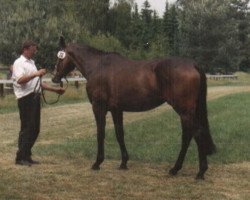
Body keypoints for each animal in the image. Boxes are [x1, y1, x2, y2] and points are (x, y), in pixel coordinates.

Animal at [51, 36, 216, 180]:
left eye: (60, 57)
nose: (54, 78)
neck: (97, 66)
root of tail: (193, 65)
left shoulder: (99, 108)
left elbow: (100, 134)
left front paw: (97, 163)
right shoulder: (117, 110)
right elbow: (119, 134)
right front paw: (123, 163)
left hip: (184, 110)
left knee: (192, 134)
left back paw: (188, 170)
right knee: (193, 134)